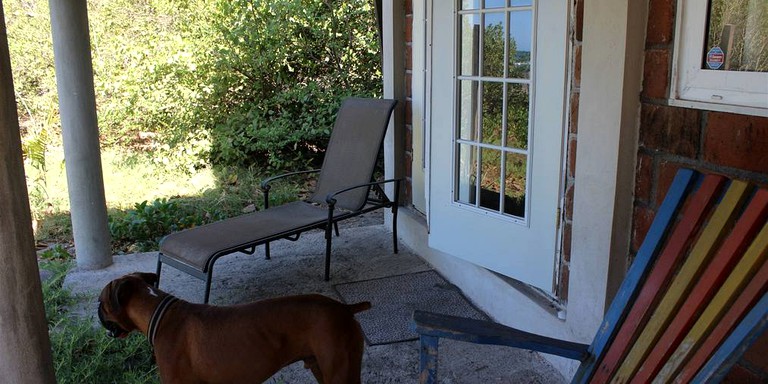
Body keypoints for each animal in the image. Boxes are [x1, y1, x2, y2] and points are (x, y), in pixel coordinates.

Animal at [96, 272, 372, 382]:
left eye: (100, 303)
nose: (96, 312)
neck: (159, 313)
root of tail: (344, 308)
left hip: (339, 371)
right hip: (322, 368)